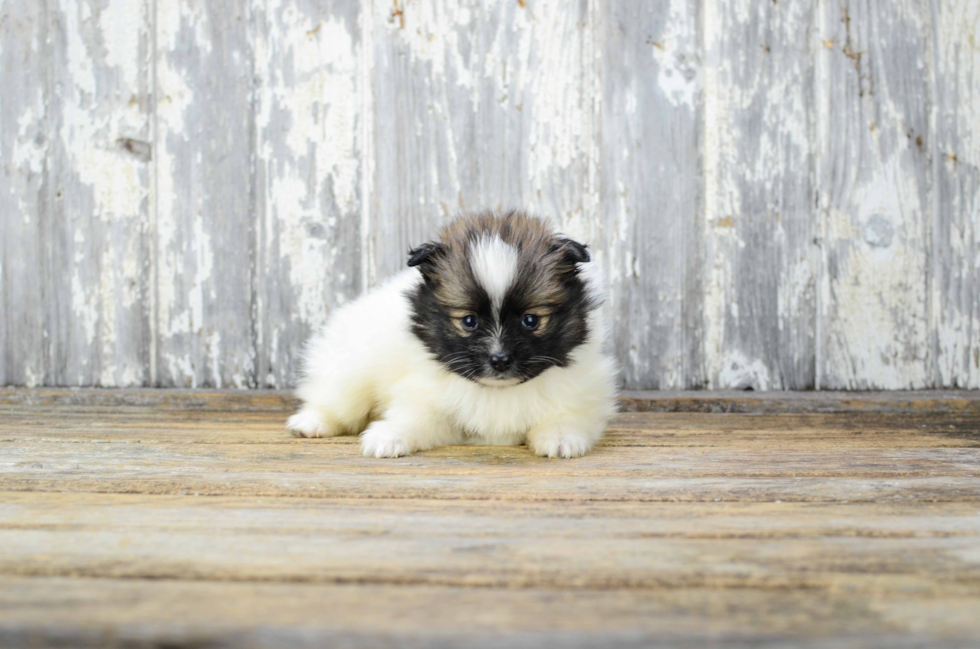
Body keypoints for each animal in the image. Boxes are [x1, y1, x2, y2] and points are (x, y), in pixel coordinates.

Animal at [288, 210, 616, 458]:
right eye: (469, 321)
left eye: (531, 320)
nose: (499, 360)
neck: (497, 391)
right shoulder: (425, 395)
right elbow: (413, 416)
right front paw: (388, 436)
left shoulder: (583, 389)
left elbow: (569, 414)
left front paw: (561, 438)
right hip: (350, 367)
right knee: (336, 400)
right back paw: (311, 422)